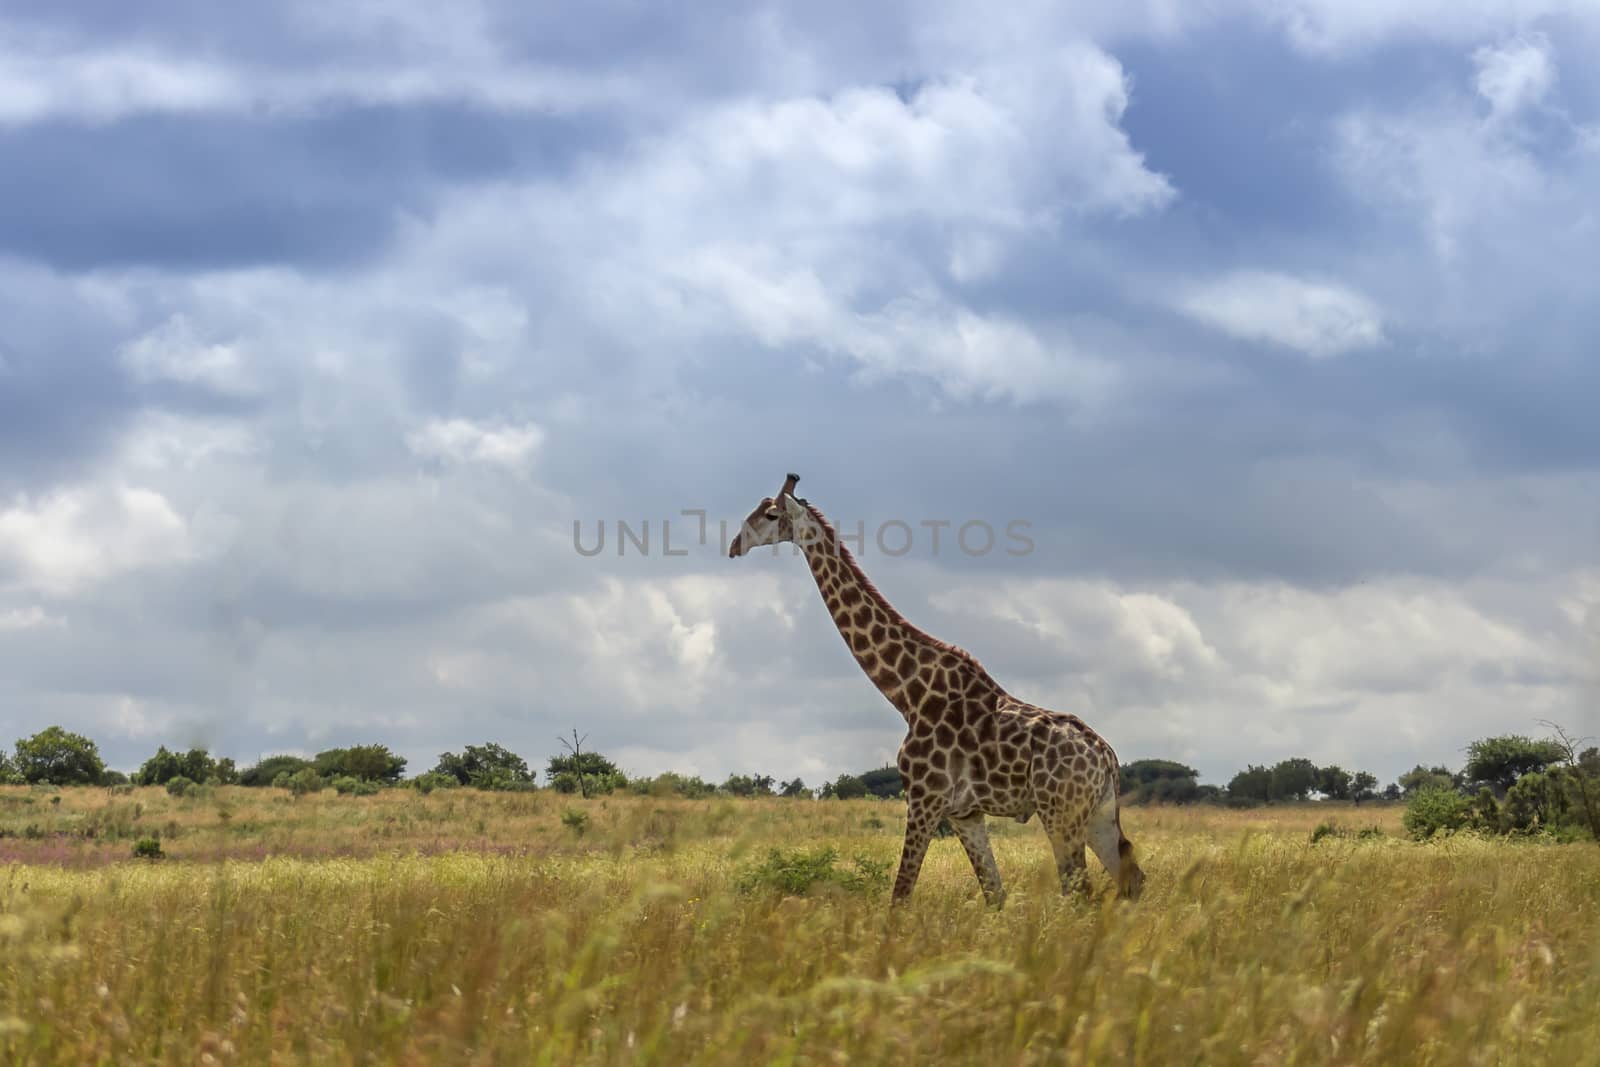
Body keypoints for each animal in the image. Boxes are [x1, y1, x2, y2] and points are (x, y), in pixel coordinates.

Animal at [732, 470, 1145, 908]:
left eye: (770, 513)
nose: (734, 545)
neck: (908, 694)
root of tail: (1106, 757)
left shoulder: (923, 800)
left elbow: (900, 895)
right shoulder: (965, 813)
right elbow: (994, 895)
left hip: (1060, 812)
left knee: (1079, 891)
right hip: (1097, 815)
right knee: (1130, 880)